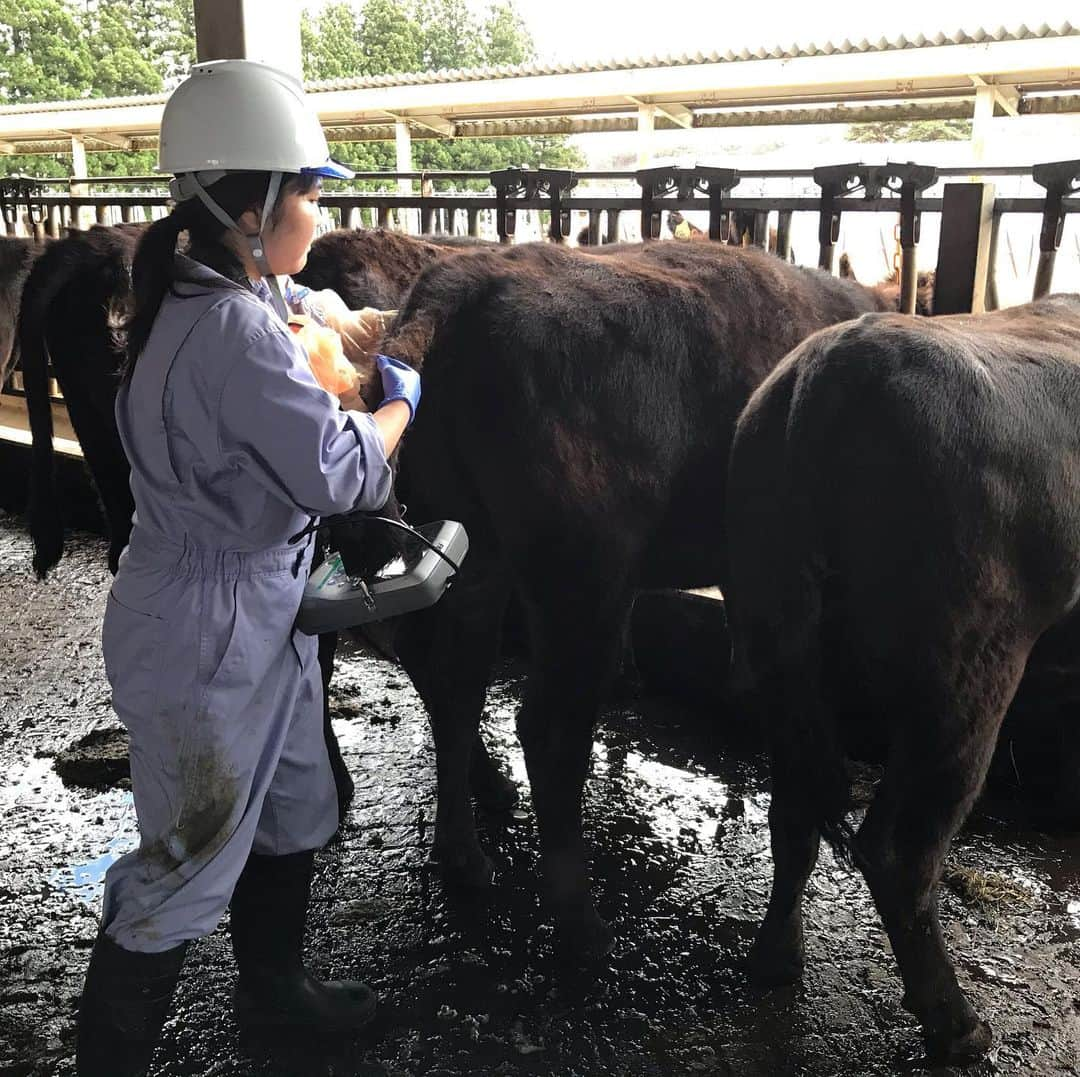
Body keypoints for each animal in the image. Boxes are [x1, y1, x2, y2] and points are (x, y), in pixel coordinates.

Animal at [378, 241, 894, 950]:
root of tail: (461, 284)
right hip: (583, 579)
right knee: (546, 727)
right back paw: (580, 920)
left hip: (476, 556)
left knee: (453, 684)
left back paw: (465, 852)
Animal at [721, 291, 1080, 1058]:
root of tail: (831, 365)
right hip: (967, 684)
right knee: (899, 848)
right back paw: (957, 1024)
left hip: (776, 655)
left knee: (794, 811)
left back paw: (774, 959)